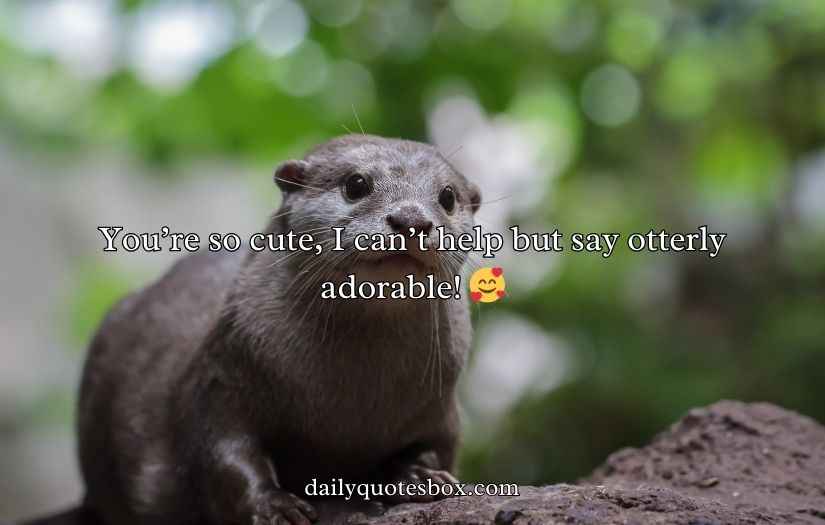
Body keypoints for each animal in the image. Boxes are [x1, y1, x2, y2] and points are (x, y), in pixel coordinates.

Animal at [36, 135, 482, 525]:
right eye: (356, 184)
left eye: (447, 197)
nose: (411, 219)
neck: (347, 410)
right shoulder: (221, 379)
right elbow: (223, 454)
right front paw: (274, 505)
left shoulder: (441, 408)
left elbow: (434, 447)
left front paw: (418, 475)